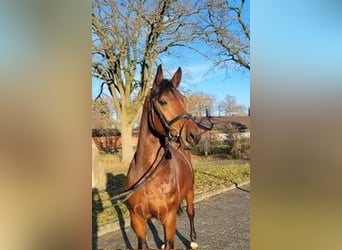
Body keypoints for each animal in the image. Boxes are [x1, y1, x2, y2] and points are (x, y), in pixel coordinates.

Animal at [126, 65, 204, 249]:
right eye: (163, 101)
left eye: (183, 100)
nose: (194, 135)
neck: (149, 176)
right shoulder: (137, 221)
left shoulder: (169, 219)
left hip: (190, 192)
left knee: (191, 213)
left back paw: (193, 240)